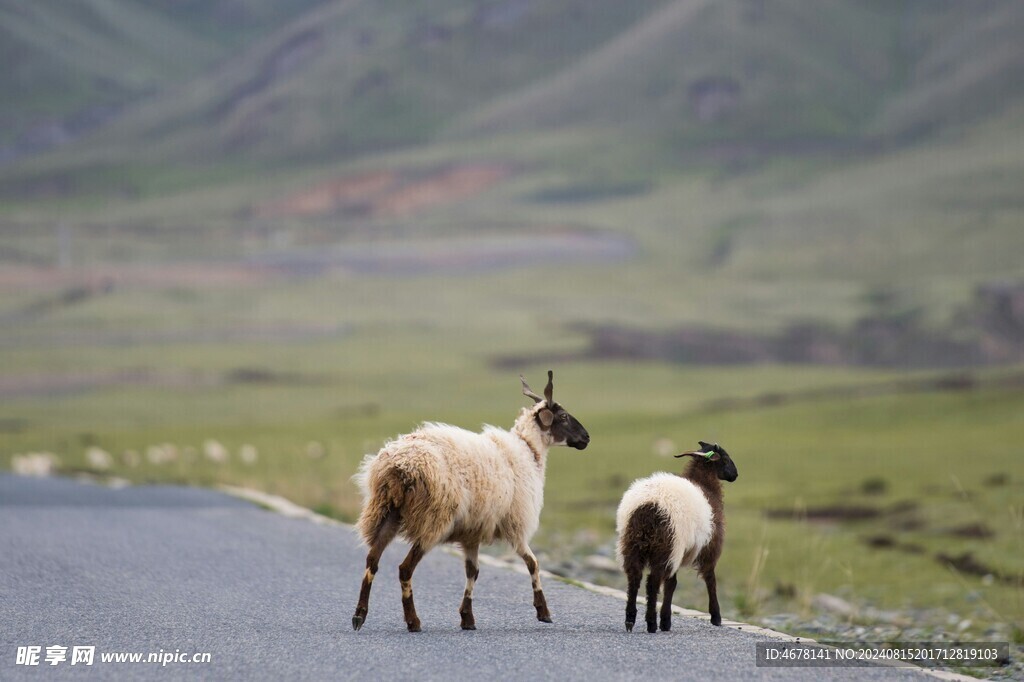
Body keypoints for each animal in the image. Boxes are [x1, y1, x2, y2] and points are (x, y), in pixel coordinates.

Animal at [352, 368, 593, 630]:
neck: (529, 450)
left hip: (386, 511)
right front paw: (543, 611)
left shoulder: (472, 532)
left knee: (372, 560)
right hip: (432, 520)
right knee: (405, 569)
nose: (586, 438)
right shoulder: (516, 524)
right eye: (563, 416)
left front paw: (467, 617)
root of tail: (401, 465)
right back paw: (413, 621)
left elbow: (472, 572)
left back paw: (359, 616)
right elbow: (533, 563)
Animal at [614, 438, 737, 630]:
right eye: (725, 458)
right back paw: (651, 623)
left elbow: (671, 584)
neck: (707, 486)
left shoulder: (680, 552)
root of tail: (648, 506)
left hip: (632, 543)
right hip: (667, 544)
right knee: (652, 582)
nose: (735, 474)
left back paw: (630, 619)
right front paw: (716, 617)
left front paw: (666, 620)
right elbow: (710, 580)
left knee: (634, 578)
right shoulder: (709, 547)